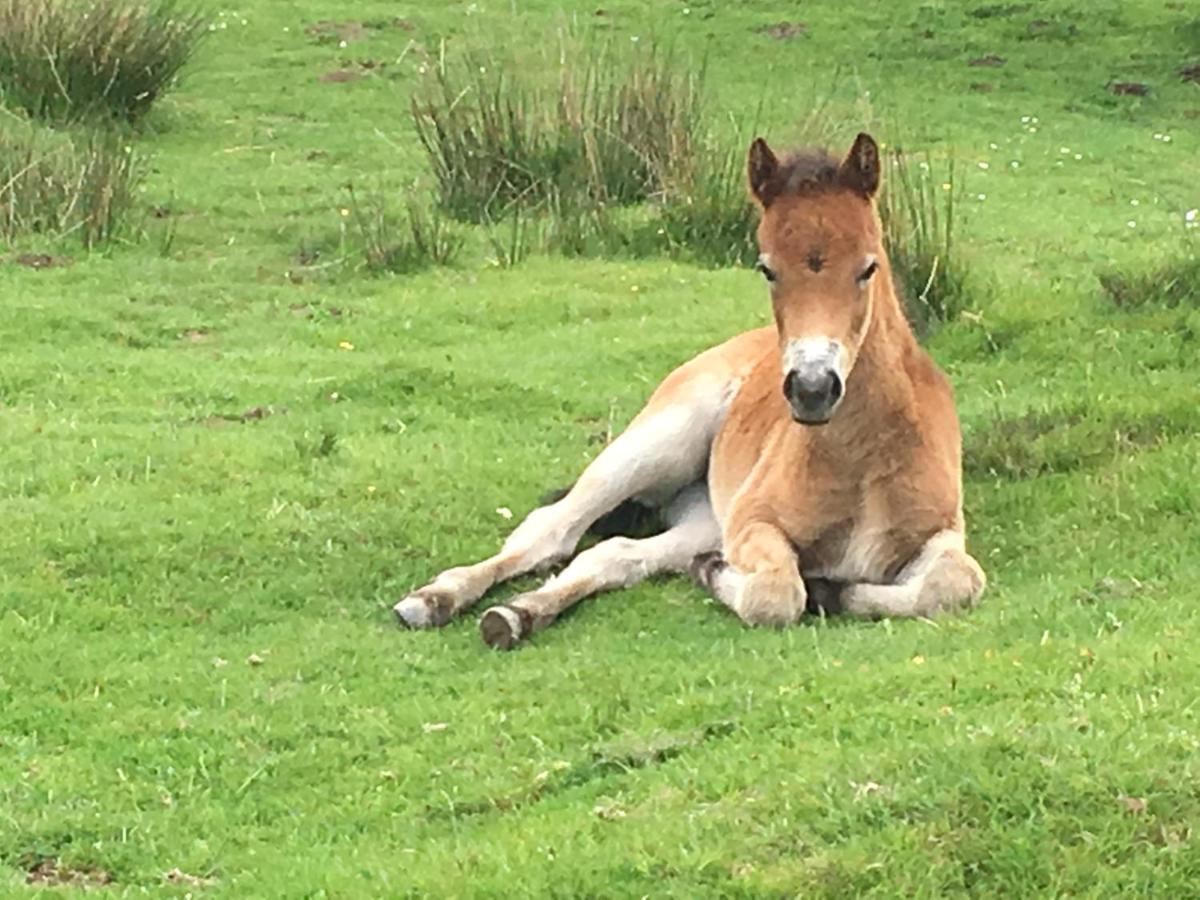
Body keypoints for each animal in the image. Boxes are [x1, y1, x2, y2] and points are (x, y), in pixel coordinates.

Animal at [393, 132, 984, 648]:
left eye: (869, 266)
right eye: (766, 269)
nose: (813, 389)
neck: (862, 458)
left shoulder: (942, 532)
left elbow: (952, 584)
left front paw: (821, 589)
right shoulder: (751, 522)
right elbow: (776, 595)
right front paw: (739, 579)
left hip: (703, 515)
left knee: (614, 553)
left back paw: (519, 614)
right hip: (661, 440)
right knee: (549, 531)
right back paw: (434, 600)